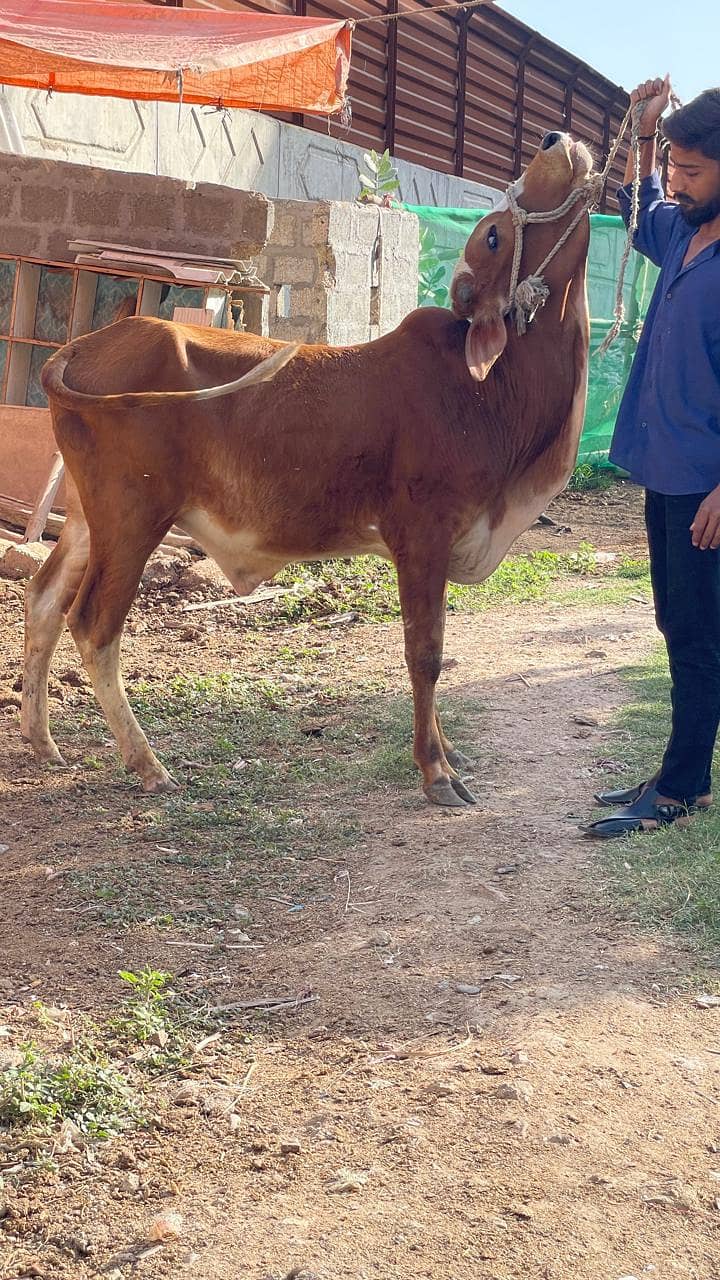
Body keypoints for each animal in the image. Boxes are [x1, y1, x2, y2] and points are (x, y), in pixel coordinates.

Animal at [21, 129, 594, 809]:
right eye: (493, 236)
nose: (556, 140)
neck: (488, 390)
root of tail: (82, 346)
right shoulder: (421, 536)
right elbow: (425, 653)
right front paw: (436, 771)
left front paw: (447, 752)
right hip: (132, 518)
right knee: (92, 626)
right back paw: (146, 763)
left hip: (89, 519)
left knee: (43, 599)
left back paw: (41, 741)